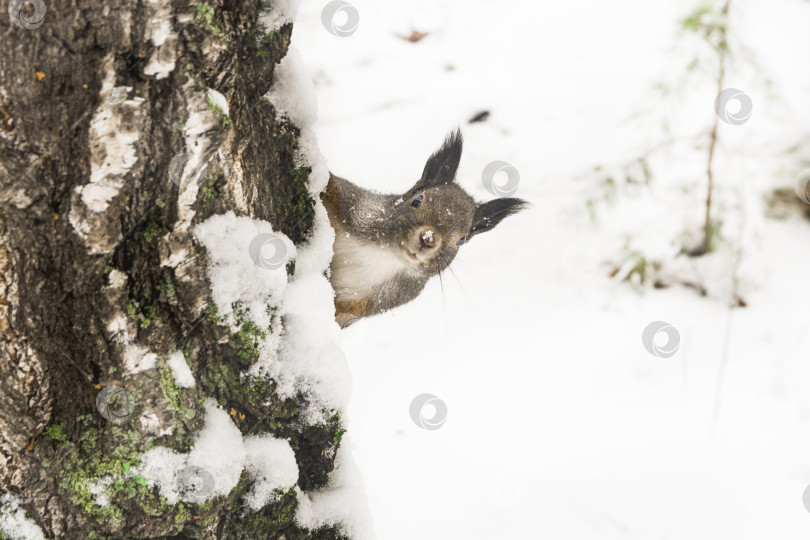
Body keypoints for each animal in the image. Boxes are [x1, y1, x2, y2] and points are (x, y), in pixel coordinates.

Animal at [318, 129, 528, 326]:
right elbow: (331, 186)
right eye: (417, 200)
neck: (387, 256)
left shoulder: (381, 300)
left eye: (462, 240)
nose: (428, 239)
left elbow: (343, 314)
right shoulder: (357, 207)